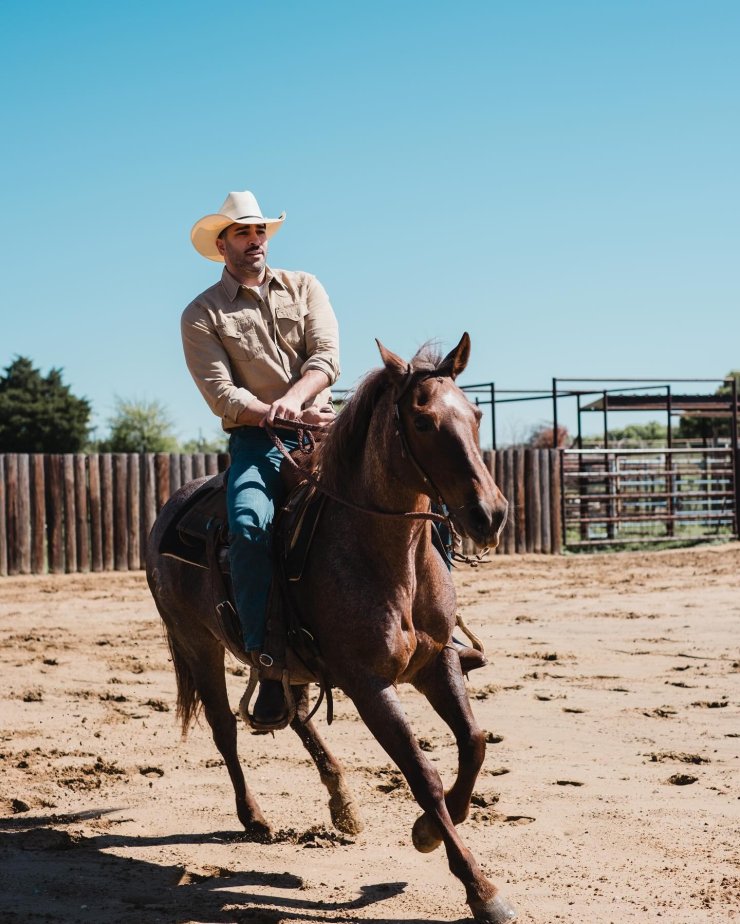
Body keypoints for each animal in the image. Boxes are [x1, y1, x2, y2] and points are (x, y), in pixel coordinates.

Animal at [145, 334, 516, 924]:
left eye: (476, 413)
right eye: (422, 422)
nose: (490, 514)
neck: (388, 557)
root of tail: (170, 509)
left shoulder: (438, 663)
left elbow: (474, 744)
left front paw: (429, 831)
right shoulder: (369, 684)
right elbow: (423, 774)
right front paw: (480, 888)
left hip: (285, 662)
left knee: (294, 714)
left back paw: (342, 803)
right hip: (196, 643)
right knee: (225, 728)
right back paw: (254, 817)